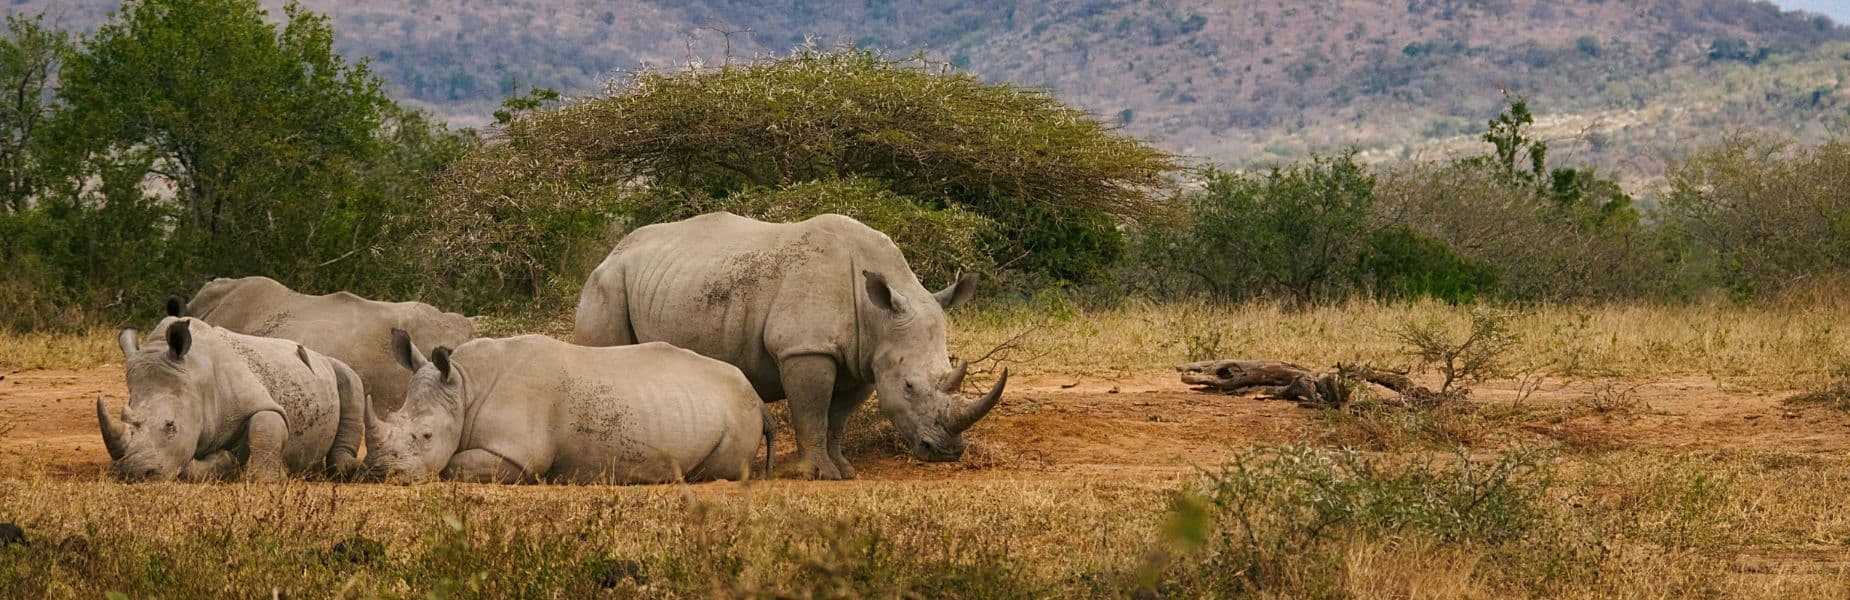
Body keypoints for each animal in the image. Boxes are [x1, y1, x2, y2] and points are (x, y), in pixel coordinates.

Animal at [99, 316, 366, 481]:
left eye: (170, 425)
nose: (133, 472)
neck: (196, 377)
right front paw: (226, 461)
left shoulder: (259, 401)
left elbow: (265, 427)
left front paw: (268, 478)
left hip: (335, 366)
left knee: (350, 379)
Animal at [364, 329, 769, 485]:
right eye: (392, 416)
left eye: (426, 435)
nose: (379, 472)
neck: (464, 387)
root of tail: (757, 396)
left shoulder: (518, 454)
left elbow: (453, 466)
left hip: (739, 411)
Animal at [577, 212, 1013, 481]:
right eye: (909, 386)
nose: (948, 452)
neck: (877, 316)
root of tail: (610, 252)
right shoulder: (805, 348)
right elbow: (811, 412)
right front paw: (817, 474)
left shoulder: (864, 360)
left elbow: (837, 418)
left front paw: (844, 470)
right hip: (606, 284)